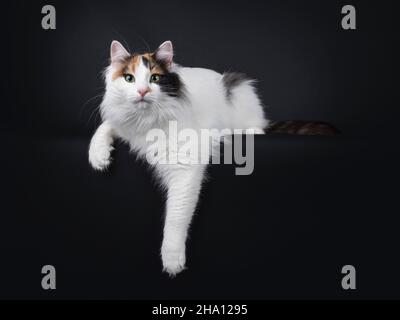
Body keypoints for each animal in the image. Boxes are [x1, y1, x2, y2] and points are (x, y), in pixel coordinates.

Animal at [88, 39, 338, 276]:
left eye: (155, 78)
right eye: (129, 78)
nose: (142, 92)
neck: (145, 122)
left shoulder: (185, 167)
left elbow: (175, 218)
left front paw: (172, 260)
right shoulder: (124, 124)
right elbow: (106, 126)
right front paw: (98, 156)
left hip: (241, 92)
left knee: (258, 127)